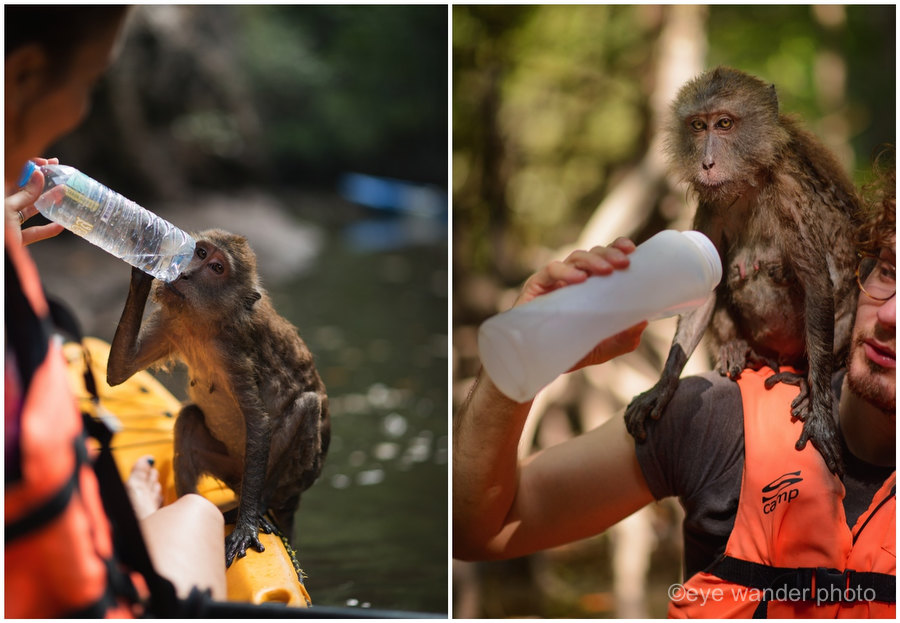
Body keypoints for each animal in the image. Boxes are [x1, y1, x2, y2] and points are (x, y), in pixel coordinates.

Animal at [107, 229, 330, 567]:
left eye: (217, 268)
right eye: (200, 253)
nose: (184, 272)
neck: (208, 325)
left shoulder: (235, 352)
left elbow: (259, 421)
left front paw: (247, 524)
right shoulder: (173, 322)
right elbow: (120, 370)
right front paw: (144, 264)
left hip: (285, 479)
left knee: (307, 405)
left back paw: (257, 507)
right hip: (228, 467)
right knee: (189, 418)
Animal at [624, 67, 859, 475]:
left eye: (725, 124)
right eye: (698, 126)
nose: (707, 163)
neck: (749, 182)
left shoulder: (791, 192)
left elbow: (817, 284)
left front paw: (820, 410)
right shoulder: (710, 204)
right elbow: (704, 285)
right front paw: (664, 386)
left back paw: (803, 378)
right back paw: (739, 349)